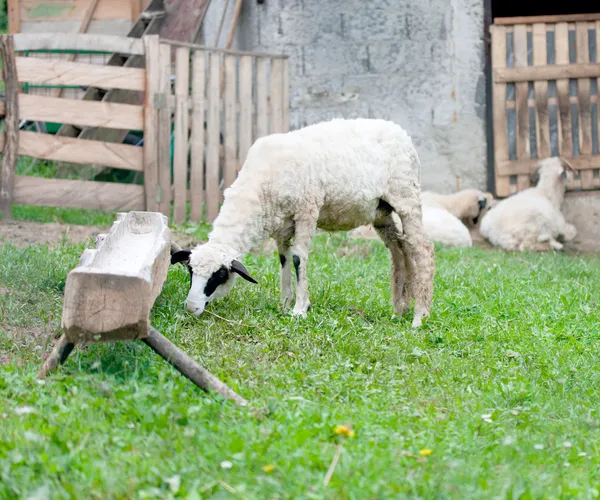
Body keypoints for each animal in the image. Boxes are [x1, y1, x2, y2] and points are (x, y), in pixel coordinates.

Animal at [171, 117, 434, 328]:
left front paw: (300, 308)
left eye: (219, 276)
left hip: (406, 196)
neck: (257, 188)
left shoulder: (307, 209)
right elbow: (284, 260)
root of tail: (400, 130)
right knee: (399, 249)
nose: (191, 308)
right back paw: (400, 309)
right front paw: (285, 303)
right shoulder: (282, 223)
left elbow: (298, 258)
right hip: (381, 211)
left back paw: (419, 316)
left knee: (422, 249)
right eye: (190, 272)